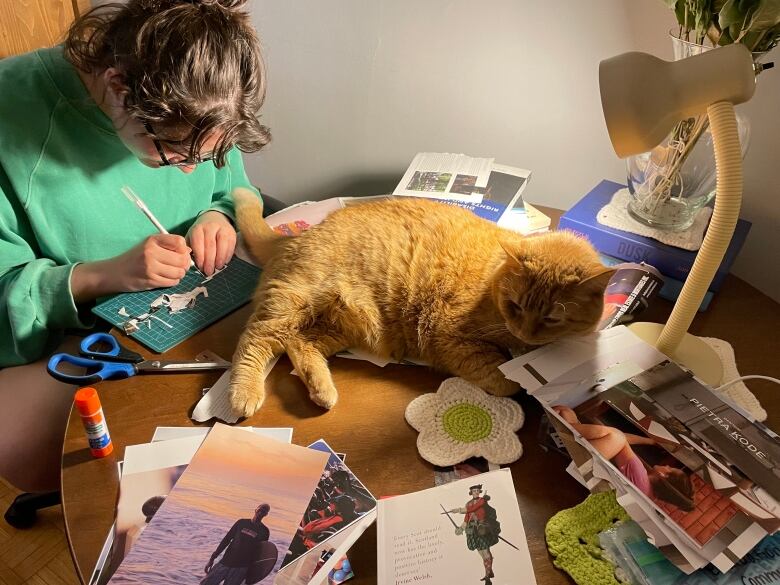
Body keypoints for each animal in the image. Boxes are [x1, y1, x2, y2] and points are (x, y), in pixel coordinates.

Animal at [229, 188, 612, 416]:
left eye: (551, 319)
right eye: (516, 305)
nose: (525, 333)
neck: (491, 281)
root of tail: (297, 235)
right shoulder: (450, 337)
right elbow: (503, 378)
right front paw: (513, 378)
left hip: (349, 326)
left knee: (299, 344)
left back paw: (322, 391)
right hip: (293, 301)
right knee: (254, 340)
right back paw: (243, 393)